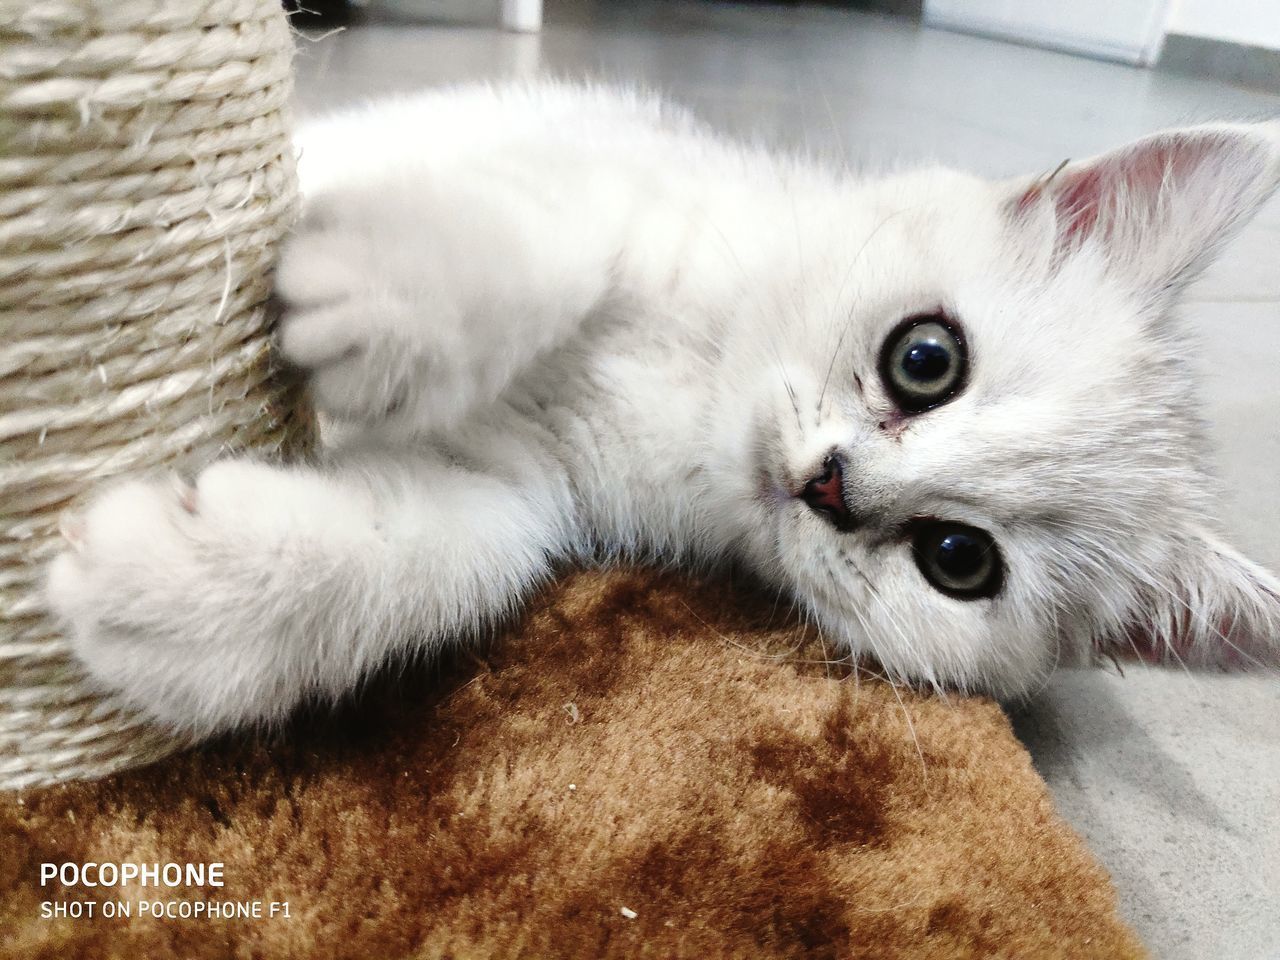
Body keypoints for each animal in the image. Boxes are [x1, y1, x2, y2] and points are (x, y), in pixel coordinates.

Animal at [45, 84, 1280, 737]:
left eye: (957, 560)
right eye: (925, 359)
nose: (830, 485)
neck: (695, 402)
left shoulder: (519, 491)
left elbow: (430, 559)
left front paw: (169, 592)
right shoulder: (603, 171)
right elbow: (553, 238)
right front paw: (383, 297)